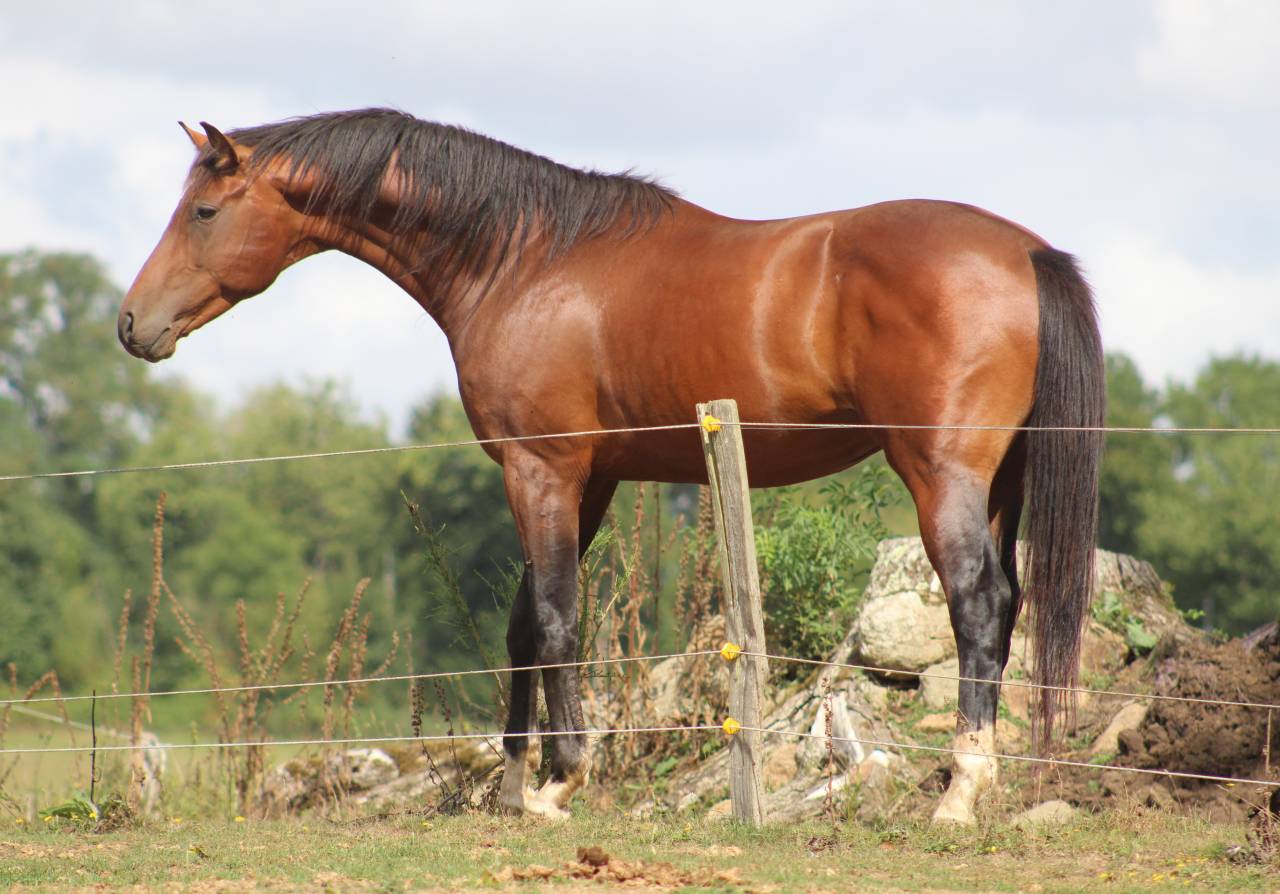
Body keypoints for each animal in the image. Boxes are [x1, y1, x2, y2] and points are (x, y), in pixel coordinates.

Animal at [118, 108, 1104, 824]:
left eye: (204, 212)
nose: (133, 324)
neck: (523, 259)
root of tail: (1025, 251)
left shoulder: (540, 470)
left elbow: (558, 621)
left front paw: (560, 782)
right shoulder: (585, 480)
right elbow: (525, 624)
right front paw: (515, 784)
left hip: (941, 473)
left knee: (976, 603)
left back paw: (963, 792)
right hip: (1000, 481)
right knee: (1010, 604)